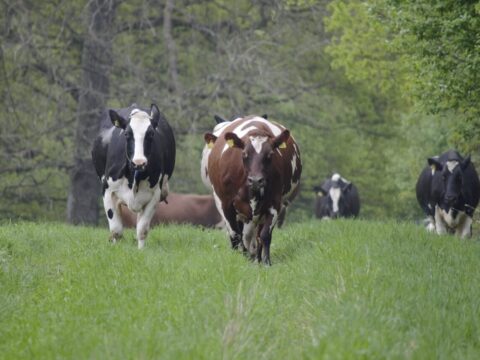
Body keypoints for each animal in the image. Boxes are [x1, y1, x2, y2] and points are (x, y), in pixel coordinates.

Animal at [91, 101, 175, 248]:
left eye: (151, 134)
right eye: (126, 134)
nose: (139, 162)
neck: (135, 177)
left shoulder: (154, 195)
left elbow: (142, 229)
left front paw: (140, 250)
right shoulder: (107, 190)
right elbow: (116, 231)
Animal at [204, 114, 302, 264]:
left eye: (270, 154)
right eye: (244, 154)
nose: (256, 180)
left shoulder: (274, 203)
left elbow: (265, 235)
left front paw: (266, 262)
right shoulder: (225, 204)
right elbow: (235, 235)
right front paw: (238, 259)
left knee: (255, 236)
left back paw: (256, 257)